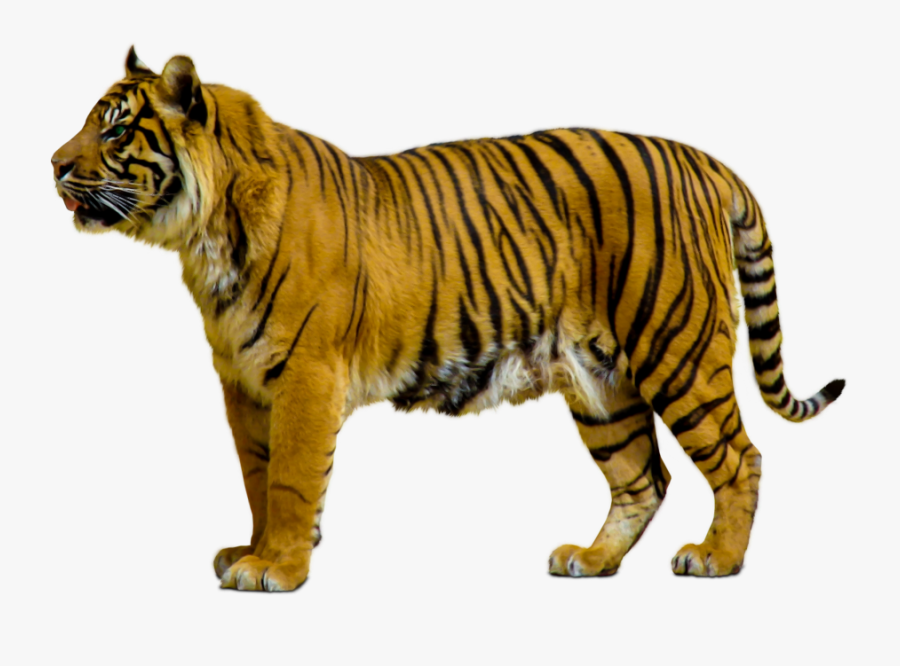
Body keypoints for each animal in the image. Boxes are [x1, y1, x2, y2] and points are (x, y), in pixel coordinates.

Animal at [52, 48, 844, 592]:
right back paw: (591, 560)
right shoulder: (243, 382)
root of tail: (708, 162)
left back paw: (717, 558)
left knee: (740, 457)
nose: (53, 163)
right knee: (642, 477)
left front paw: (275, 567)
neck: (204, 235)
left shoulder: (306, 374)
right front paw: (253, 549)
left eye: (115, 131)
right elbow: (257, 474)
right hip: (600, 382)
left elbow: (292, 477)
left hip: (676, 349)